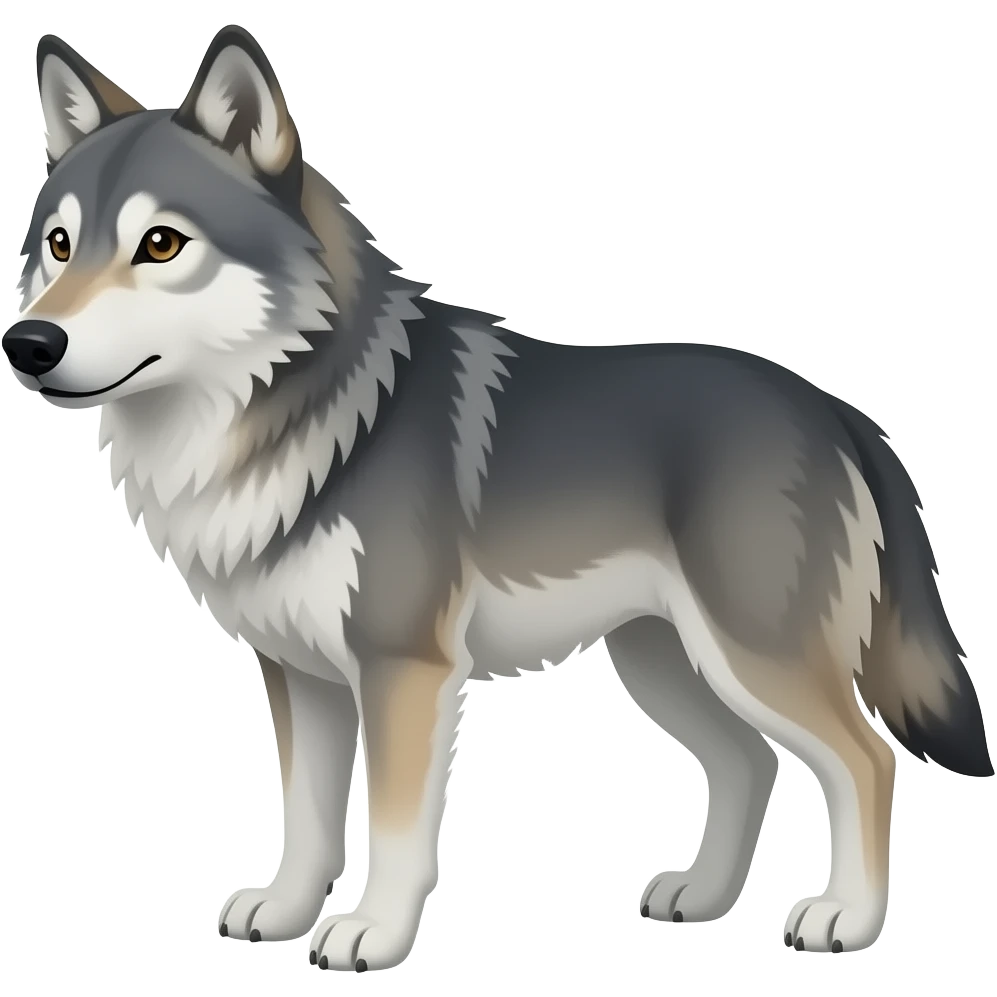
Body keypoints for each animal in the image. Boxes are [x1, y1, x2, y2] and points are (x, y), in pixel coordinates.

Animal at [4, 24, 992, 972]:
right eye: (58, 245)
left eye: (160, 244)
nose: (28, 342)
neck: (298, 418)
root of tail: (835, 409)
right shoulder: (300, 675)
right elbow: (309, 820)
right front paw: (285, 913)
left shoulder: (403, 669)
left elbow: (395, 828)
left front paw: (372, 934)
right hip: (663, 662)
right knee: (750, 762)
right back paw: (702, 897)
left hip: (750, 656)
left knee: (865, 760)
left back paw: (846, 919)